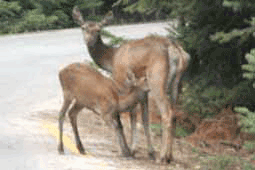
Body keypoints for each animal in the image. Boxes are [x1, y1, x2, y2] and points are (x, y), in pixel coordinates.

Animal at [71, 6, 189, 163]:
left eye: (98, 30)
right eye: (83, 27)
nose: (89, 41)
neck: (111, 60)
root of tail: (174, 49)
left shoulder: (122, 81)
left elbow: (128, 116)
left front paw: (131, 150)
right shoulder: (142, 89)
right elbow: (144, 118)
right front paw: (149, 152)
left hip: (157, 79)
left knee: (167, 113)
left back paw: (162, 157)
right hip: (177, 83)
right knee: (175, 113)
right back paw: (170, 156)